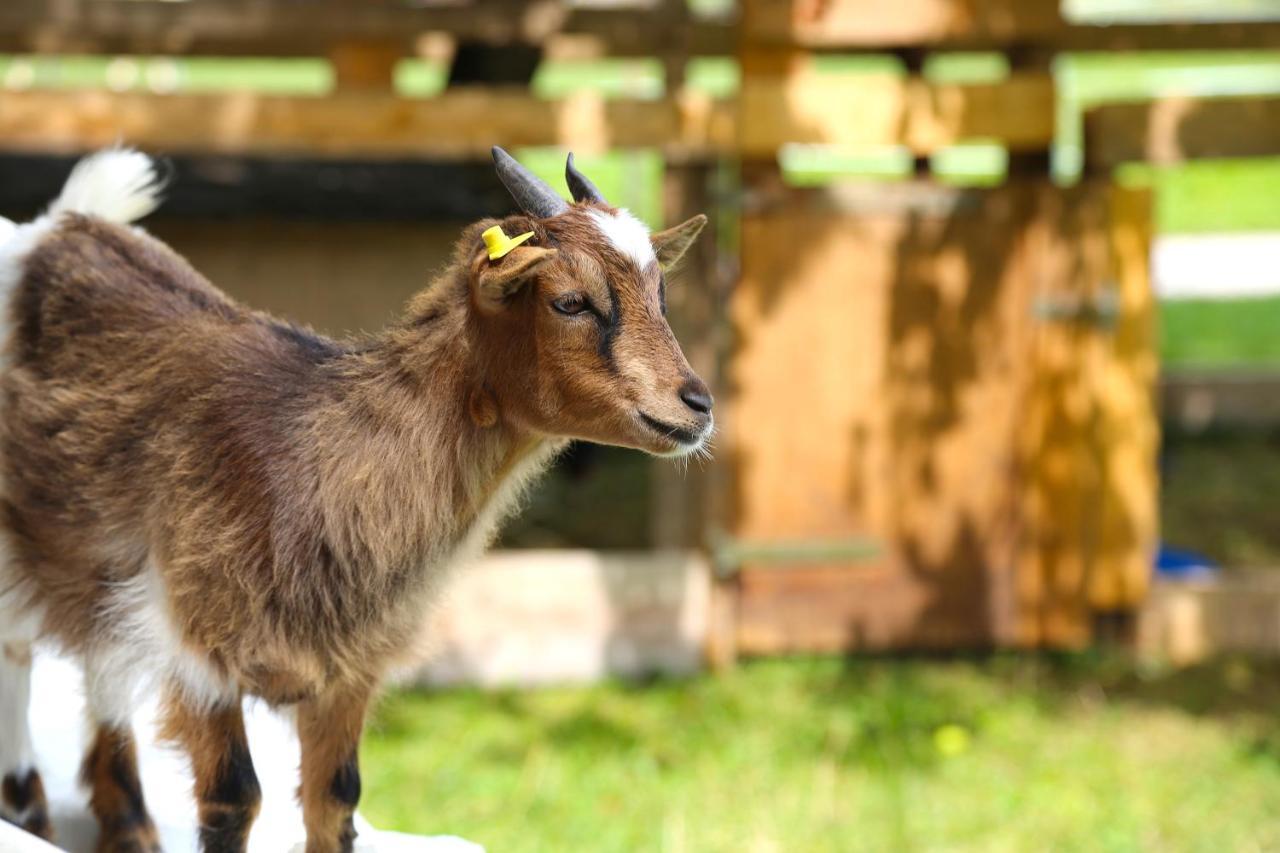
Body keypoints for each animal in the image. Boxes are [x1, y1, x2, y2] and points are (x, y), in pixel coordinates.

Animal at [0, 147, 711, 850]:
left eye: (662, 295)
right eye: (570, 302)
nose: (697, 404)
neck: (315, 454)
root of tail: (59, 224)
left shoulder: (347, 671)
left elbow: (336, 799)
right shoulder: (198, 645)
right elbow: (234, 799)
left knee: (100, 660)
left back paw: (127, 825)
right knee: (19, 648)